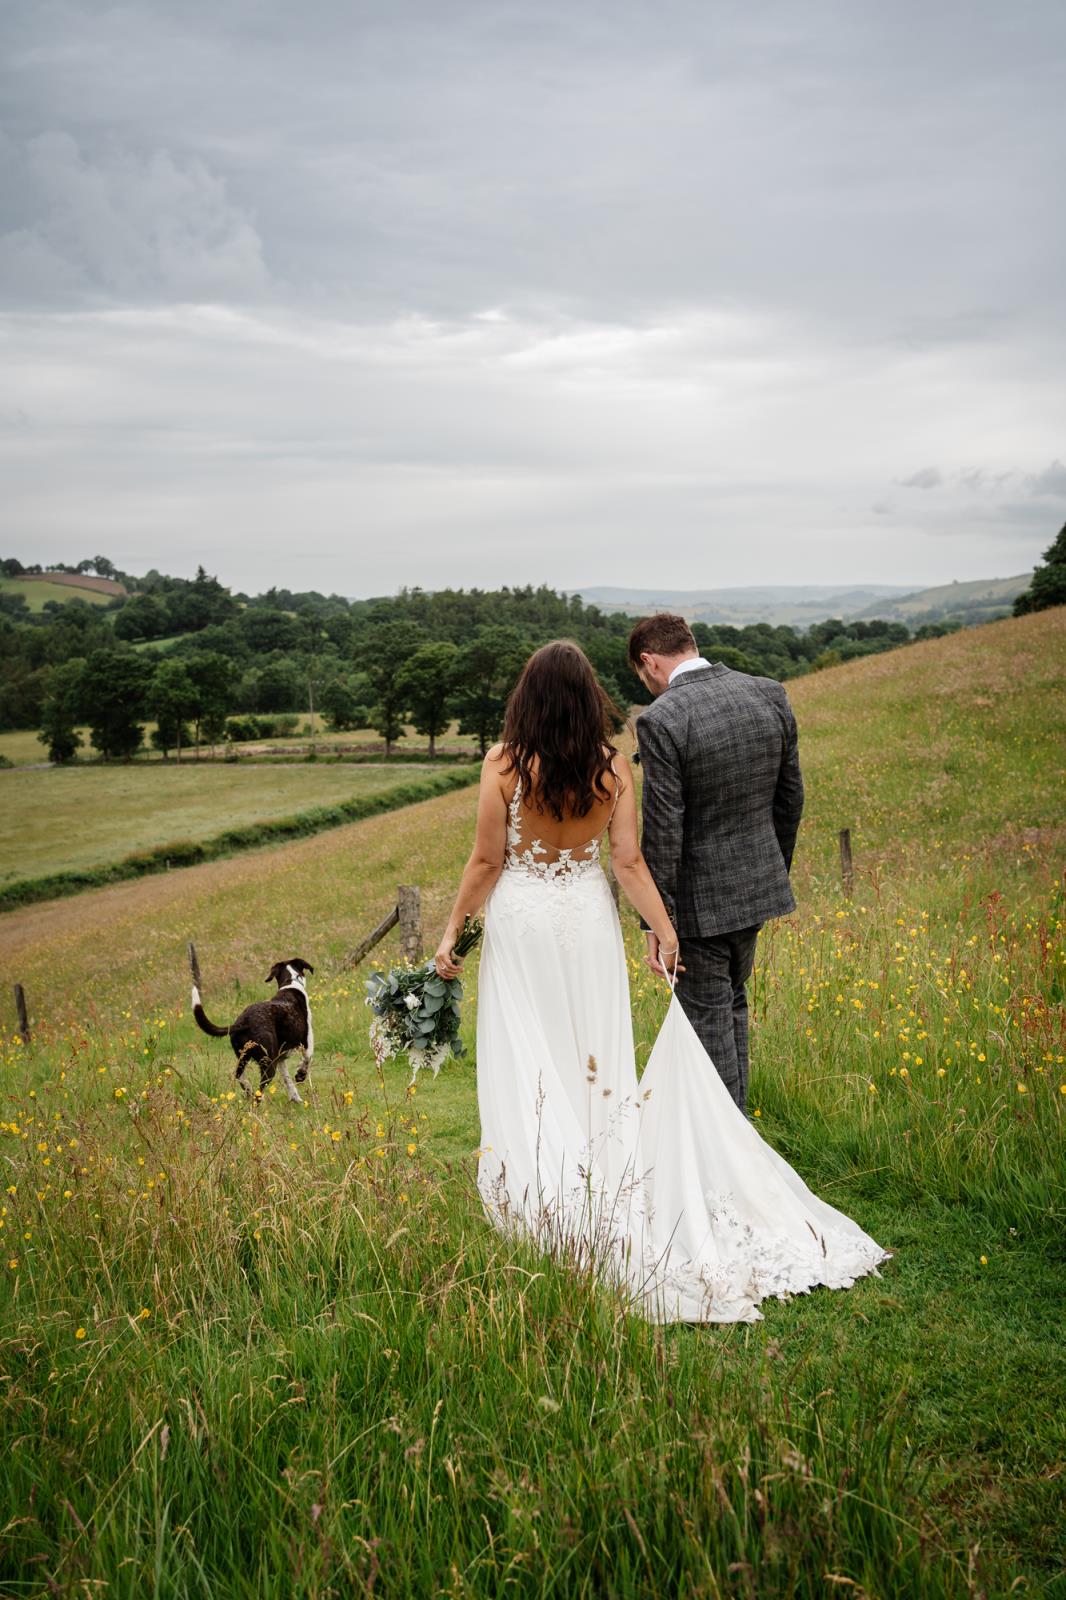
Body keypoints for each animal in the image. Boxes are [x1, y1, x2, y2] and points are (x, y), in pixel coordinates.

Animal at [192, 960, 313, 1100]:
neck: (291, 982)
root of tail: (243, 1022)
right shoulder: (306, 1042)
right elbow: (307, 1059)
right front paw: (300, 1075)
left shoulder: (280, 1057)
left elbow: (287, 1080)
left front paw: (295, 1098)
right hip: (268, 1065)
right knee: (258, 1093)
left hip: (244, 1057)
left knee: (239, 1076)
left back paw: (248, 1089)